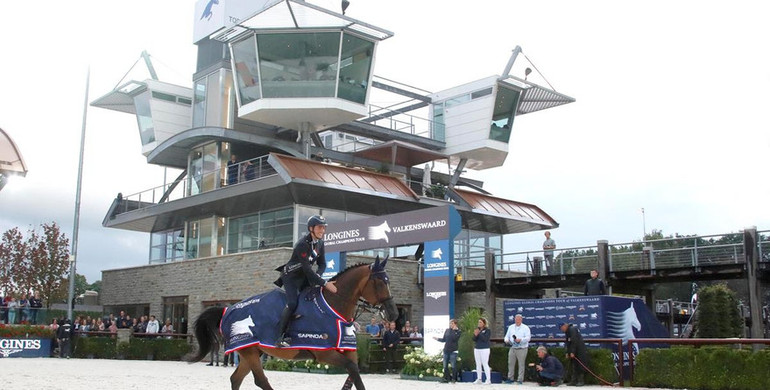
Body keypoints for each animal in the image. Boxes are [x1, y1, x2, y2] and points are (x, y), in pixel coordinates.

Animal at [186, 256, 396, 390]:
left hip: (251, 352)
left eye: (388, 281)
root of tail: (227, 310)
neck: (333, 306)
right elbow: (353, 371)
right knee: (260, 381)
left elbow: (354, 376)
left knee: (236, 379)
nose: (393, 313)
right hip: (250, 351)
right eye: (379, 282)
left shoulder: (348, 350)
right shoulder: (324, 353)